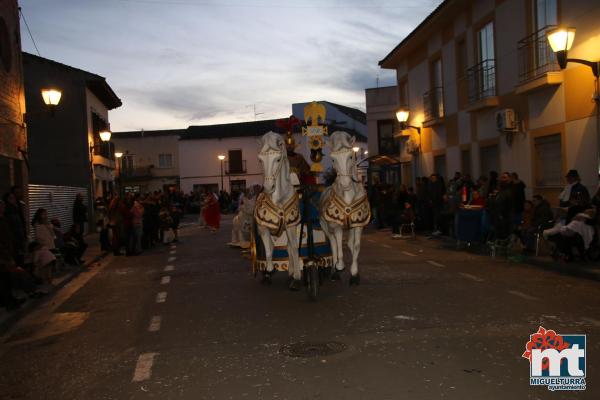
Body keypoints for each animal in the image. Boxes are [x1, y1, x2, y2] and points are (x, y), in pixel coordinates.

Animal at [253, 133, 302, 290]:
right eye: (260, 159)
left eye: (278, 159)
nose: (268, 187)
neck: (278, 199)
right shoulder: (263, 227)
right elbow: (268, 250)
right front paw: (269, 270)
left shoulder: (291, 226)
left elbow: (294, 249)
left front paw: (297, 277)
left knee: (289, 248)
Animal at [318, 131, 370, 284]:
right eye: (333, 159)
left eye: (351, 156)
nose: (345, 183)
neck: (348, 196)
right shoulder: (336, 226)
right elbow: (339, 245)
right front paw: (339, 265)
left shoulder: (358, 225)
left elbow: (355, 246)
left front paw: (354, 274)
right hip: (325, 227)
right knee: (333, 244)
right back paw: (334, 271)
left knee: (349, 244)